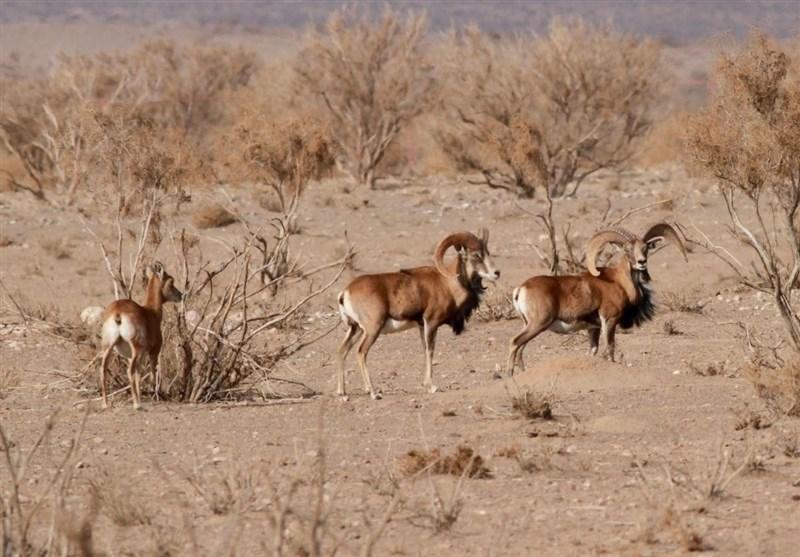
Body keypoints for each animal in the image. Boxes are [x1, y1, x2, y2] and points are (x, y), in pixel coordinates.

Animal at [338, 228, 500, 398]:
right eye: (476, 255)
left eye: (487, 252)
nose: (496, 273)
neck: (447, 284)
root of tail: (345, 293)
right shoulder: (431, 323)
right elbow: (430, 351)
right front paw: (431, 386)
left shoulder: (422, 327)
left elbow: (425, 350)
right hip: (372, 330)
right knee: (361, 352)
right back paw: (373, 392)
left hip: (355, 329)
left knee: (342, 351)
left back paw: (342, 392)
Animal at [506, 223, 688, 374]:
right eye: (627, 249)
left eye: (645, 248)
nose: (641, 262)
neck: (618, 281)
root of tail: (521, 289)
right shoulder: (609, 320)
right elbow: (610, 348)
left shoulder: (593, 328)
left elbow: (593, 351)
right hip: (538, 324)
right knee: (515, 342)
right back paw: (509, 374)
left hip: (530, 325)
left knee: (520, 348)